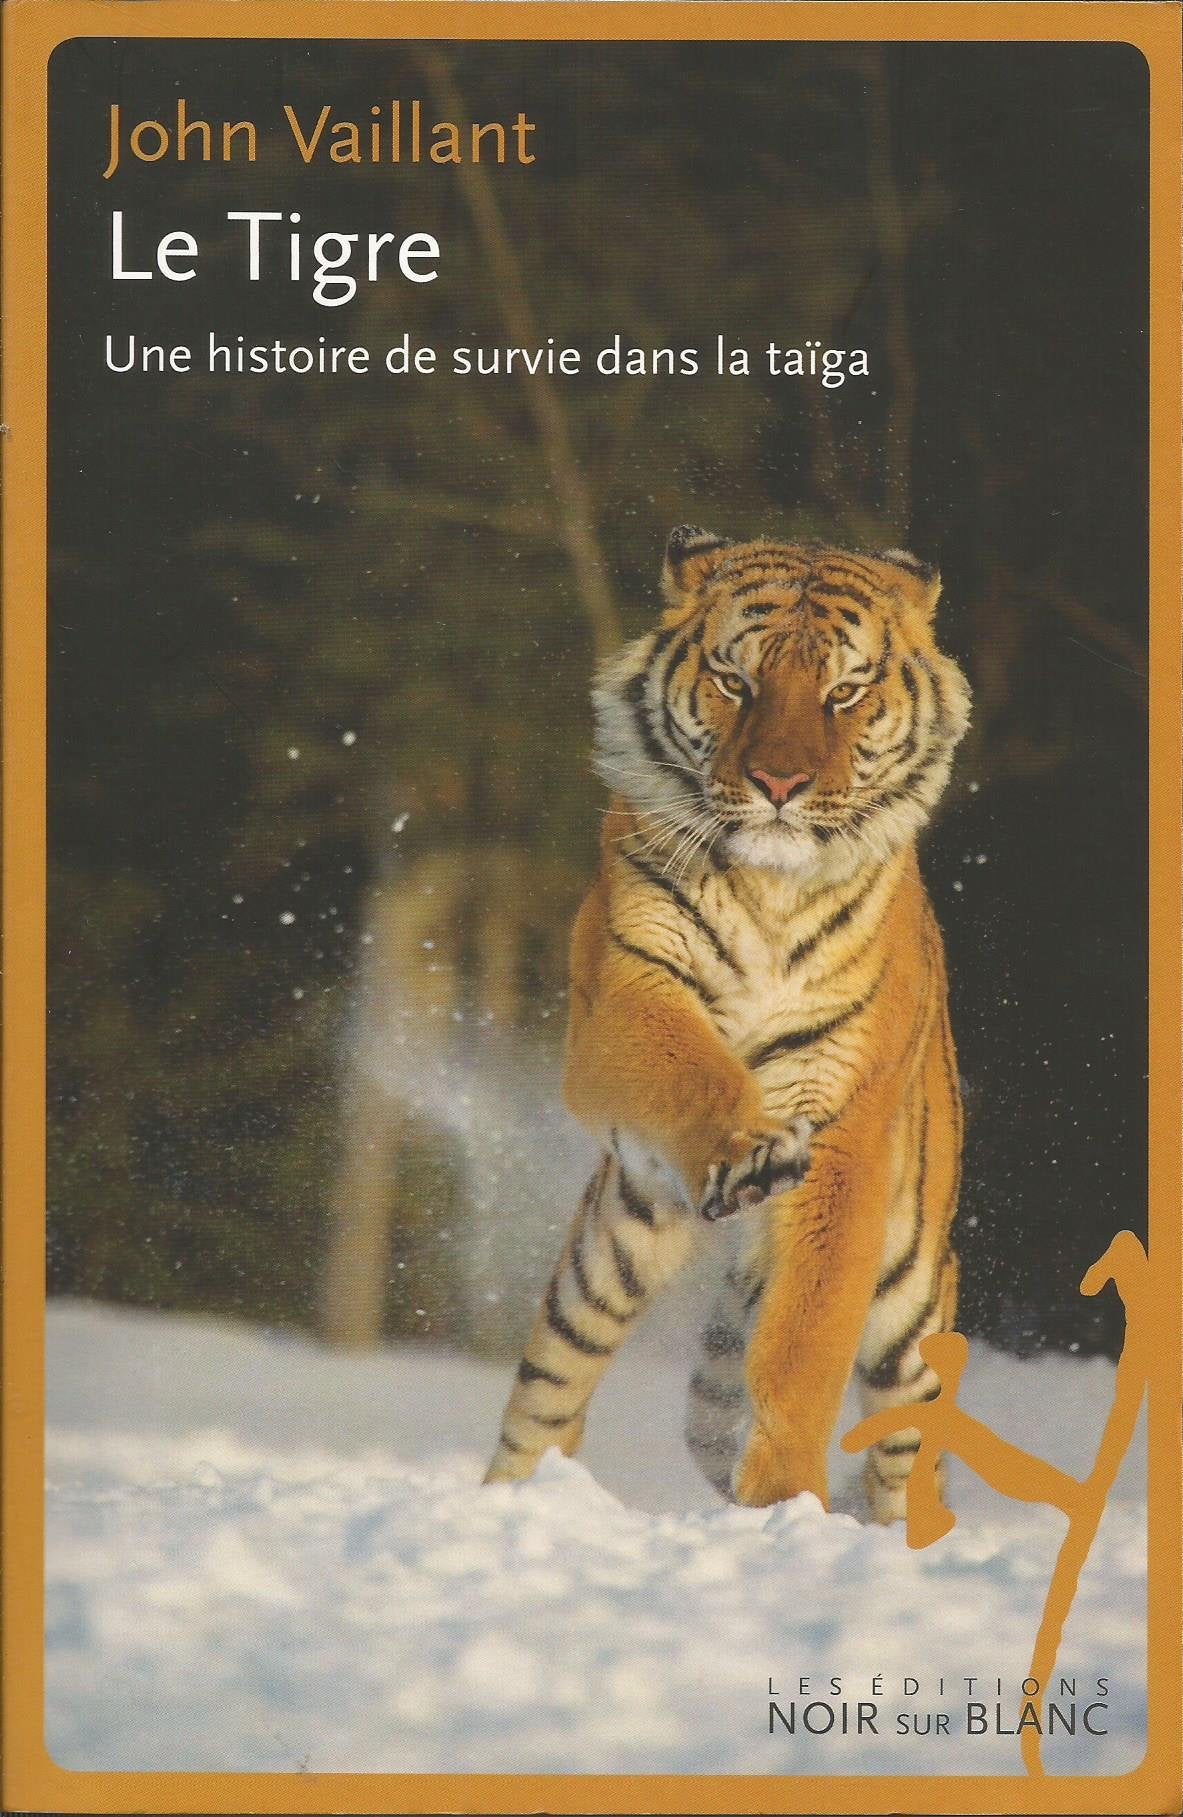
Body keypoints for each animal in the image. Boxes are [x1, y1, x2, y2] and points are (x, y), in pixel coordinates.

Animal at [485, 527, 971, 1522]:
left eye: (843, 691)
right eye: (735, 680)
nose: (779, 781)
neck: (768, 890)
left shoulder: (845, 1131)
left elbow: (801, 1349)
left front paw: (783, 1504)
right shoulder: (621, 1001)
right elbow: (692, 1070)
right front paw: (746, 1150)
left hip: (911, 1309)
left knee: (908, 1447)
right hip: (604, 1258)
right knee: (544, 1402)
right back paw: (512, 1506)